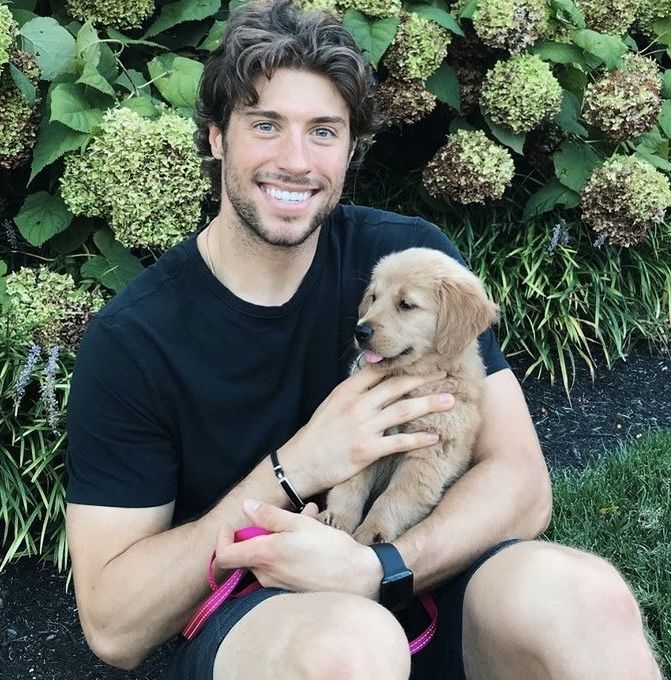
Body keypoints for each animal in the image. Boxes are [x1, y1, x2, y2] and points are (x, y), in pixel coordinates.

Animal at [318, 247, 498, 544]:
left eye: (405, 304)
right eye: (374, 297)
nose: (360, 331)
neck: (407, 380)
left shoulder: (430, 452)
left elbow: (396, 496)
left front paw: (373, 532)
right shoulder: (365, 439)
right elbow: (350, 483)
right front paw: (337, 519)